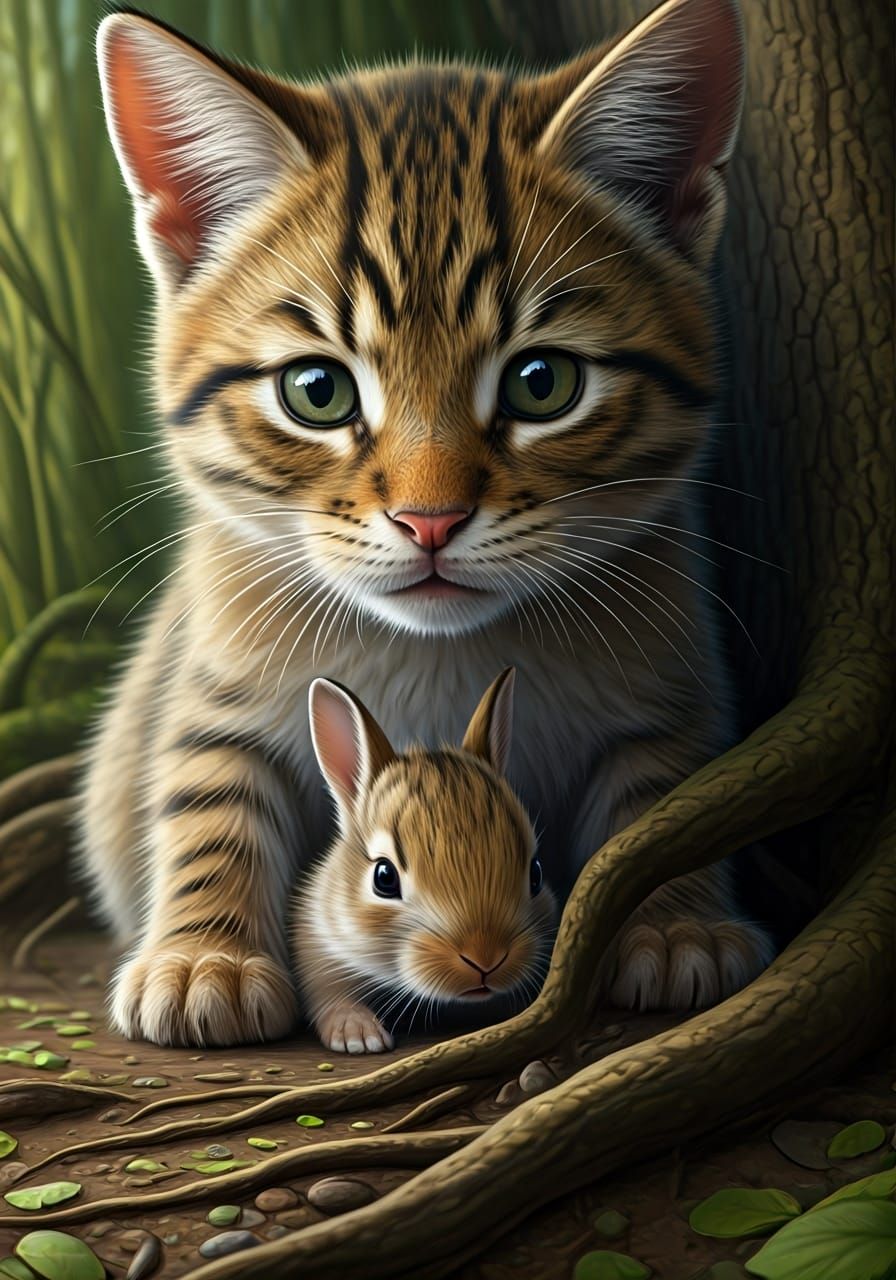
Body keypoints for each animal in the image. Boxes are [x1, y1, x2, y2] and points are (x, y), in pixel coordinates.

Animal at [293, 668, 556, 1053]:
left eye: (535, 874)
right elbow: (329, 990)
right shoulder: (318, 938)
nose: (485, 960)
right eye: (384, 877)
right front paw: (358, 1035)